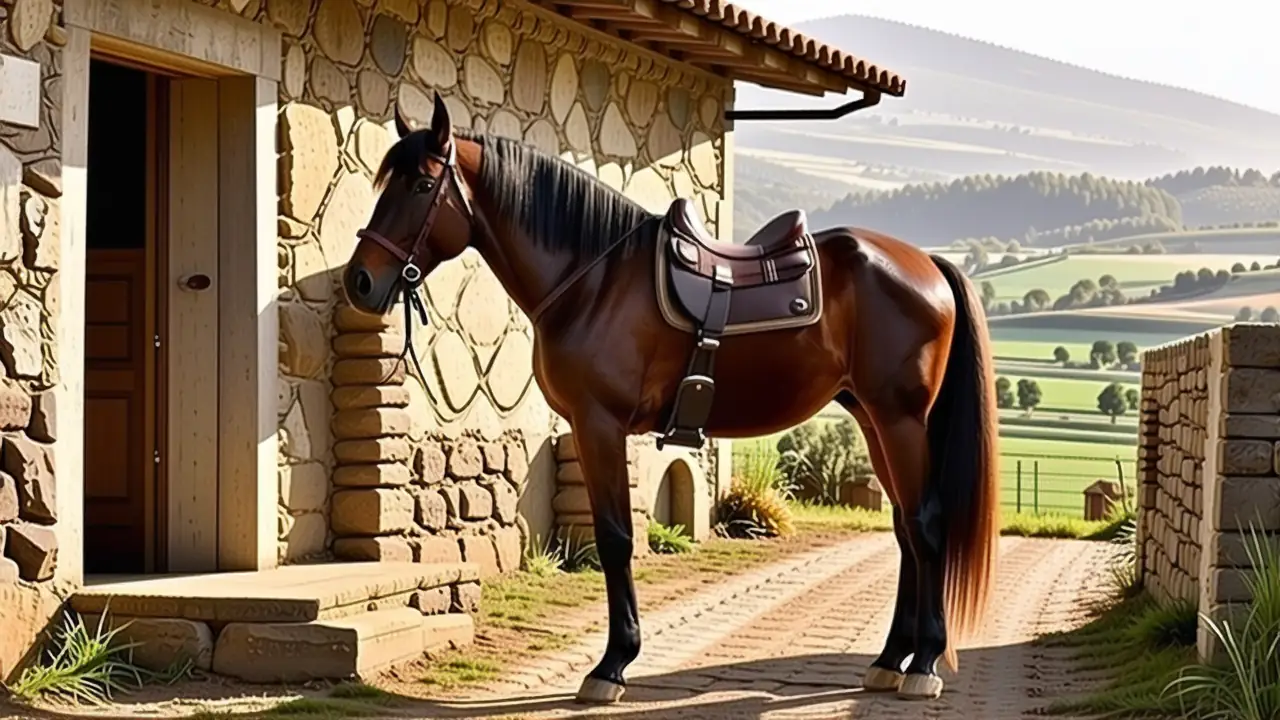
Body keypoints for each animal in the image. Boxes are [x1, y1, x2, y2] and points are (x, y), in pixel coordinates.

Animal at [341, 92, 1001, 704]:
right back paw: (891, 660)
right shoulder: (590, 428)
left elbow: (615, 540)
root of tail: (927, 264)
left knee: (926, 524)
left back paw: (924, 664)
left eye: (421, 184)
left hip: (900, 420)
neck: (594, 279)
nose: (360, 281)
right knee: (905, 531)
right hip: (872, 420)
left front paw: (611, 665)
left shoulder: (599, 425)